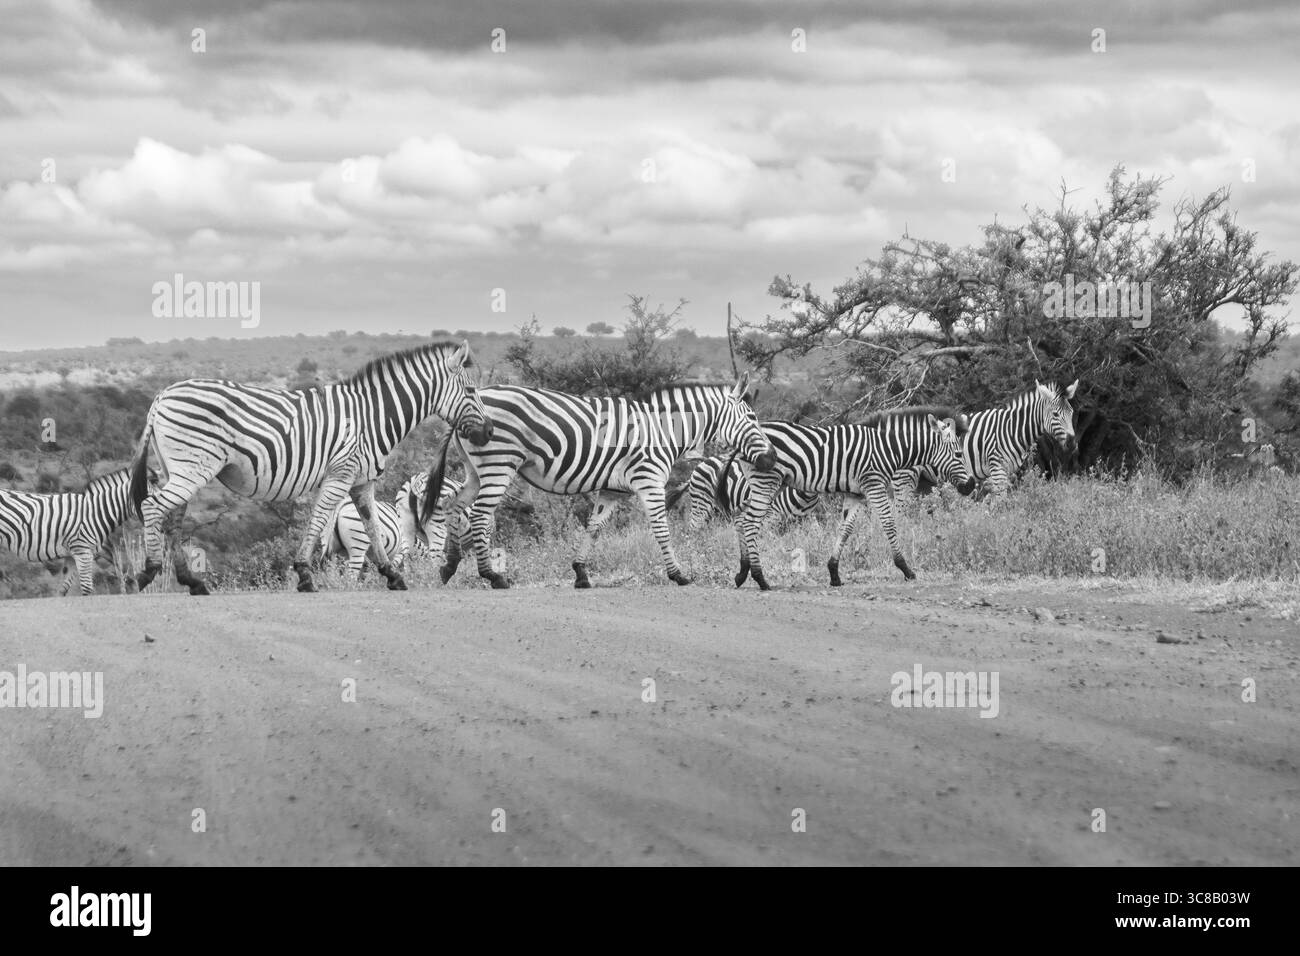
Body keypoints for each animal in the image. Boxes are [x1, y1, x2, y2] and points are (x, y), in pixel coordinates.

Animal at [128, 341, 492, 595]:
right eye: (471, 390)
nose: (488, 432)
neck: (372, 416)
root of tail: (161, 395)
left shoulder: (361, 482)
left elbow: (373, 528)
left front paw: (393, 576)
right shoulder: (340, 474)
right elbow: (319, 521)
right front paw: (305, 574)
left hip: (180, 469)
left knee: (172, 519)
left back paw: (192, 582)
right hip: (193, 468)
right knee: (152, 507)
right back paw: (147, 572)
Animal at [421, 375, 776, 589]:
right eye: (752, 418)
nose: (771, 459)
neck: (664, 429)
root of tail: (474, 398)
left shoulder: (611, 491)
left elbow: (594, 528)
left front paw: (580, 573)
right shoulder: (649, 479)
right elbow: (661, 530)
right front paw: (678, 575)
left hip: (475, 469)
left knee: (453, 505)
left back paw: (448, 567)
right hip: (499, 463)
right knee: (480, 515)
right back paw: (492, 576)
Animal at [667, 455, 820, 531]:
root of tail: (703, 462)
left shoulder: (808, 519)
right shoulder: (770, 517)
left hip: (715, 510)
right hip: (701, 502)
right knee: (694, 527)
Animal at [730, 408, 973, 590]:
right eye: (959, 454)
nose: (971, 485)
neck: (888, 448)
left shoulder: (855, 493)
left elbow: (845, 529)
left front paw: (834, 573)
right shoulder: (874, 484)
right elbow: (889, 523)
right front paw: (906, 569)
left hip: (763, 483)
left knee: (742, 520)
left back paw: (742, 574)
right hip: (766, 481)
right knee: (750, 522)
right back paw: (760, 578)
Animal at [893, 380, 1078, 499]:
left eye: (1072, 412)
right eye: (1055, 415)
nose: (1072, 444)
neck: (1012, 429)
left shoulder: (1008, 470)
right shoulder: (997, 468)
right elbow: (1000, 500)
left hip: (921, 480)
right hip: (904, 477)